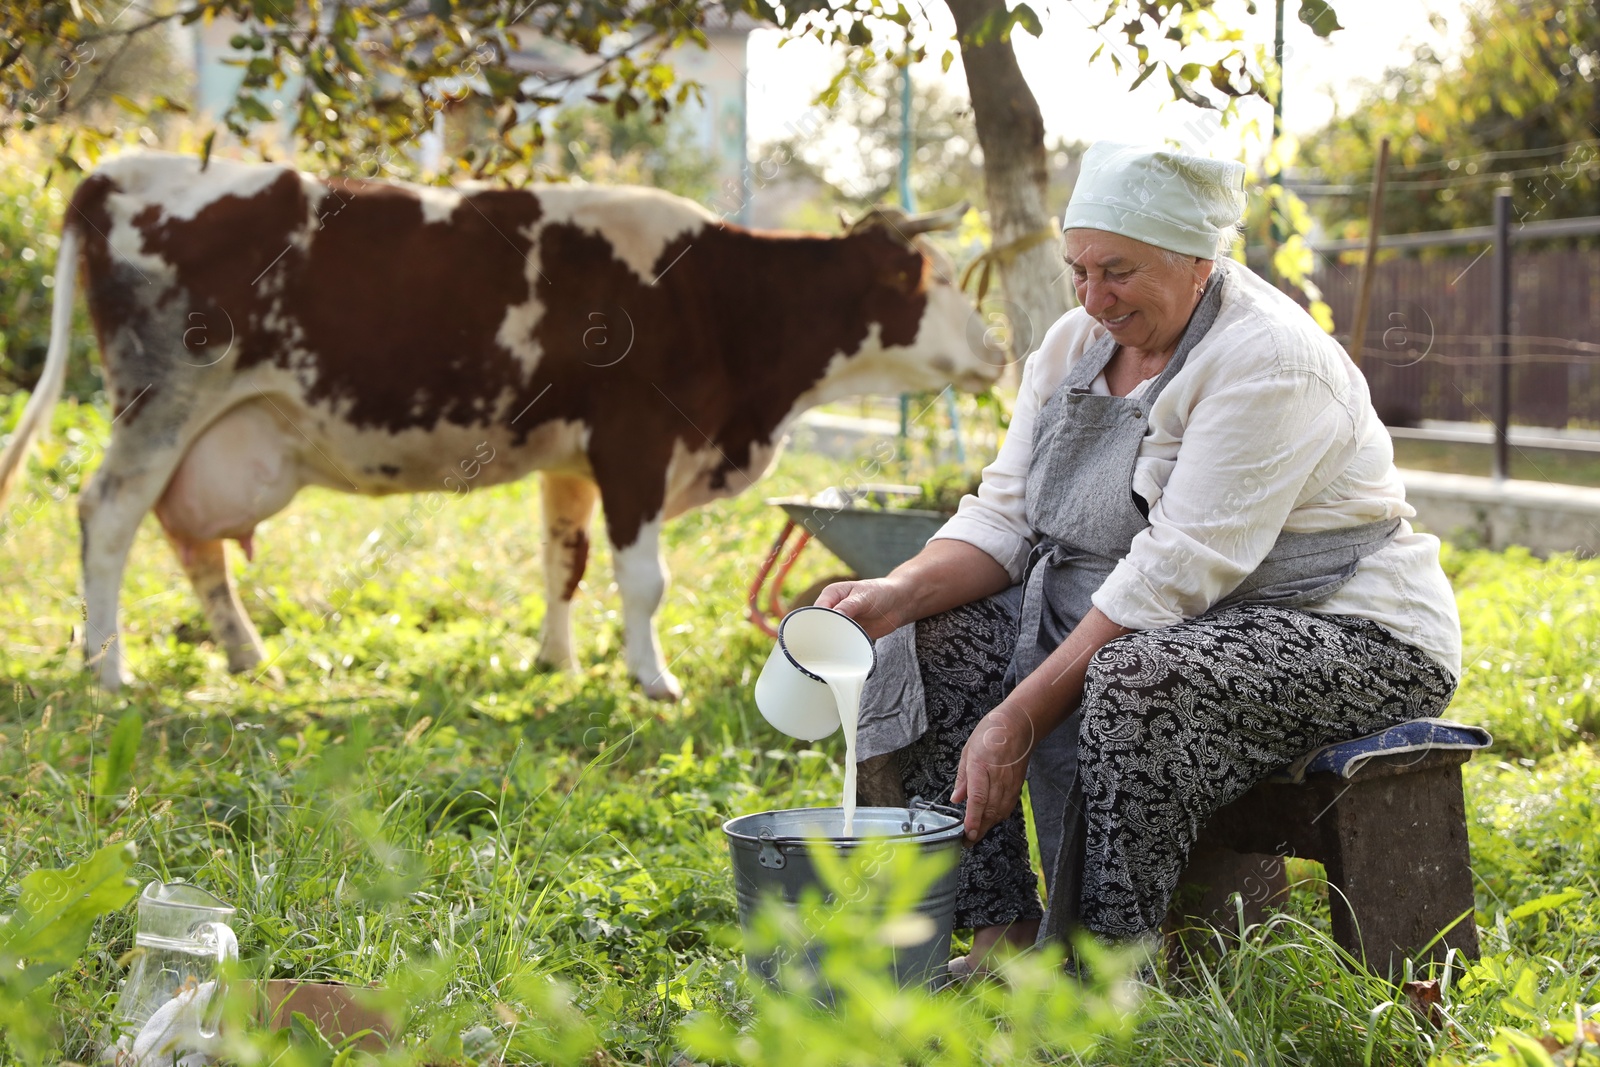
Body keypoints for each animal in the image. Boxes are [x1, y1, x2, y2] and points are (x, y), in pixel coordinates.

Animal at [0, 150, 998, 700]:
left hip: (206, 431)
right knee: (108, 516)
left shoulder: (571, 459)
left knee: (188, 537)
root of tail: (117, 171)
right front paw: (651, 678)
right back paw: (107, 667)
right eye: (944, 280)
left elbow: (564, 561)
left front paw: (555, 660)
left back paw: (246, 657)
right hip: (161, 403)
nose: (998, 346)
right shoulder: (635, 442)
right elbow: (644, 580)